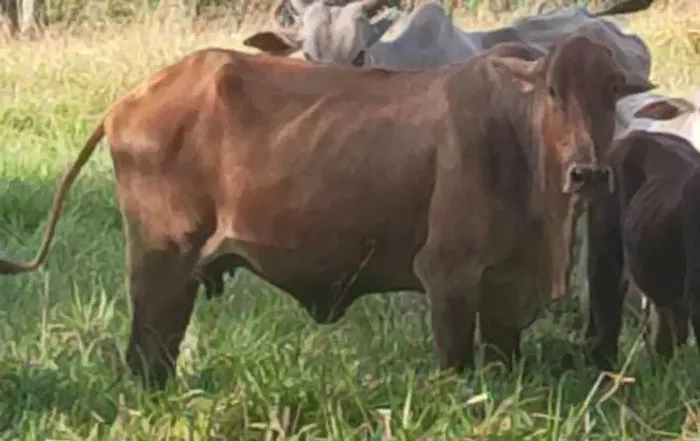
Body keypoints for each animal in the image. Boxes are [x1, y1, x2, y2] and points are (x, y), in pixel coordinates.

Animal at [0, 35, 653, 388]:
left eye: (611, 92)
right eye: (552, 92)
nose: (588, 173)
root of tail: (129, 99)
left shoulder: (505, 296)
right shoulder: (447, 276)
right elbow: (455, 366)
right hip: (161, 262)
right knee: (145, 355)